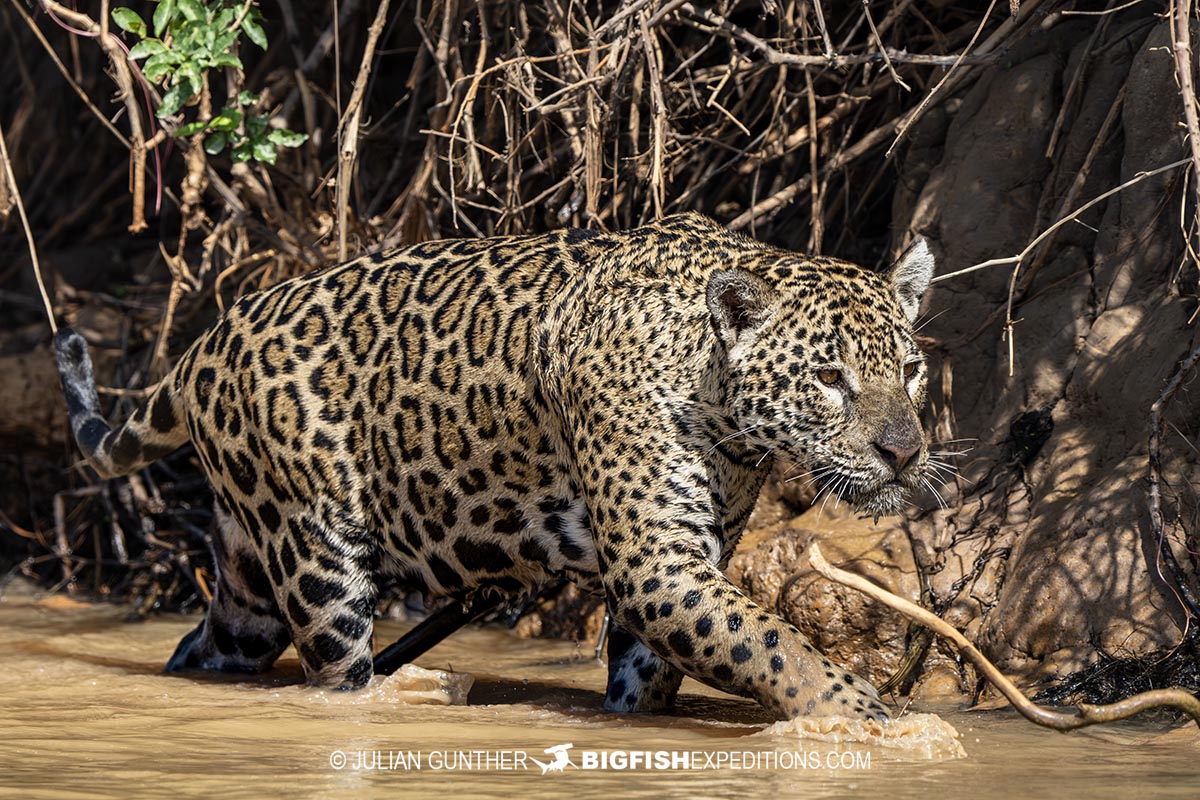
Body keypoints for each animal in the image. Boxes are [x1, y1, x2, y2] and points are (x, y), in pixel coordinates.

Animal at [55, 212, 935, 722]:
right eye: (829, 377)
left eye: (912, 370)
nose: (904, 451)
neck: (721, 404)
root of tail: (207, 339)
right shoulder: (656, 564)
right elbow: (774, 642)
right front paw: (869, 719)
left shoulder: (682, 559)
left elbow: (667, 669)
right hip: (314, 550)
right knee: (335, 675)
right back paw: (406, 692)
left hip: (249, 577)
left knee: (212, 645)